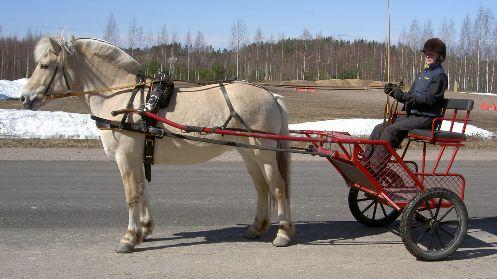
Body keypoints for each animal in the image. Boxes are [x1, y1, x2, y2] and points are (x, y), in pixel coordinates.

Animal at [20, 36, 294, 254]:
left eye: (44, 65)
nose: (24, 98)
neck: (124, 98)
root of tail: (272, 95)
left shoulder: (125, 157)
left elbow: (131, 195)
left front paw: (129, 238)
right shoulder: (136, 157)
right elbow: (142, 191)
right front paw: (144, 230)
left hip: (264, 152)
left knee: (278, 187)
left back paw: (283, 233)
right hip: (249, 153)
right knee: (261, 188)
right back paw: (257, 227)